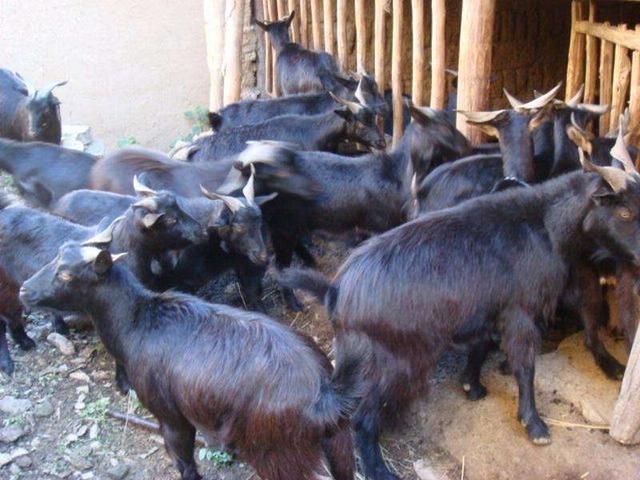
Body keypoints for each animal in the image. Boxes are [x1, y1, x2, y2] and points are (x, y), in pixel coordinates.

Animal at [19, 242, 361, 480]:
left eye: (66, 273)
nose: (24, 290)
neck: (138, 323)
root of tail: (325, 394)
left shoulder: (170, 414)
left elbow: (184, 461)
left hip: (278, 455)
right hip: (340, 446)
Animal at [281, 137, 640, 479]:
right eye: (624, 213)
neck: (543, 225)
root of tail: (335, 291)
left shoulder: (489, 308)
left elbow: (482, 345)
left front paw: (472, 384)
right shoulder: (520, 311)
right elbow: (525, 366)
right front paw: (535, 425)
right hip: (394, 360)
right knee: (360, 416)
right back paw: (379, 470)